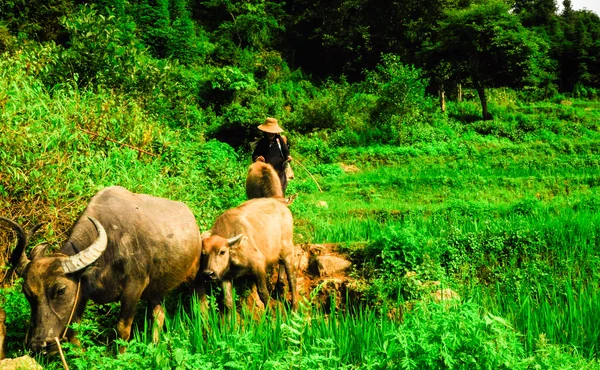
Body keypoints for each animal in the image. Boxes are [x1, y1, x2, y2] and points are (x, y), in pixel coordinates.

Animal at [0, 186, 204, 354]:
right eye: (27, 293)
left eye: (60, 290)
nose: (38, 344)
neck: (108, 252)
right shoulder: (82, 292)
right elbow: (74, 332)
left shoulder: (134, 287)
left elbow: (123, 328)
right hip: (155, 291)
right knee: (158, 315)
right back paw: (154, 346)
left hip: (195, 276)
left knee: (201, 305)